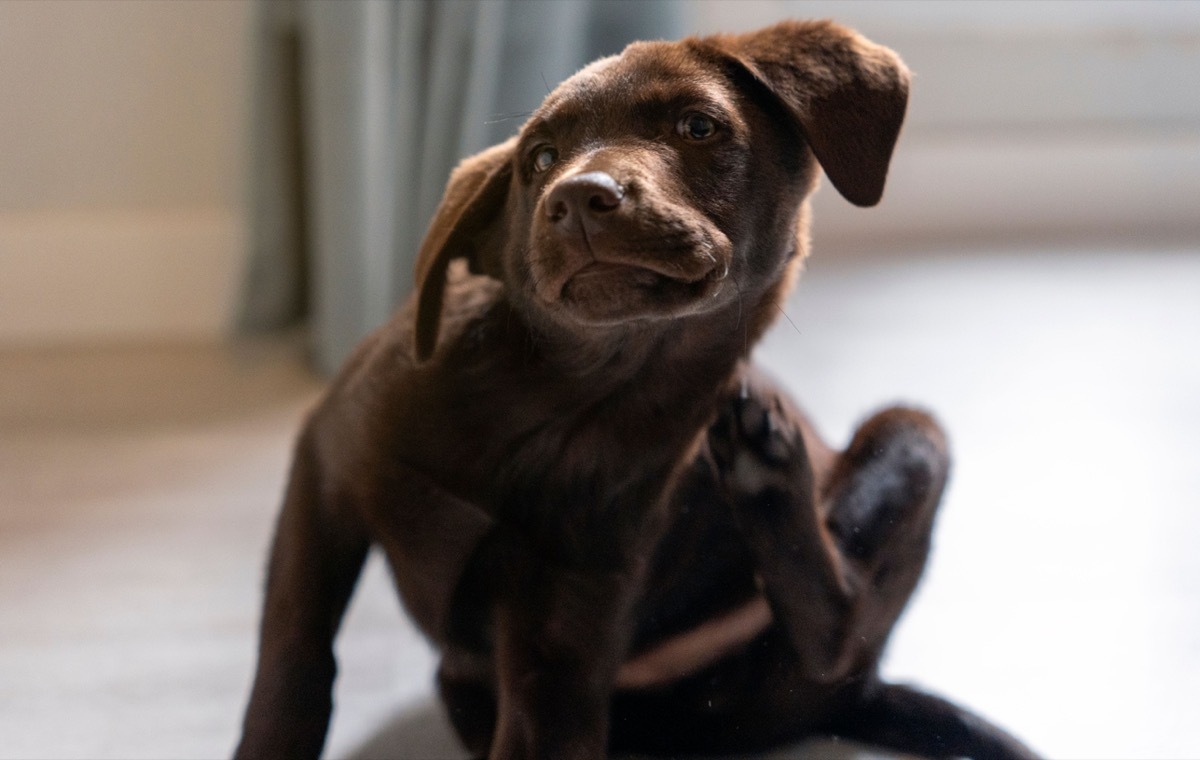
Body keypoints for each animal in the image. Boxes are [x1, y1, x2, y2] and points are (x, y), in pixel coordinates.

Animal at [236, 17, 1041, 758]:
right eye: (538, 160)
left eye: (698, 126)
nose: (579, 198)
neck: (566, 394)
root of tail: (856, 697)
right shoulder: (323, 475)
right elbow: (295, 659)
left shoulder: (559, 643)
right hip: (473, 691)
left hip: (908, 431)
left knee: (839, 628)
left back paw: (766, 472)